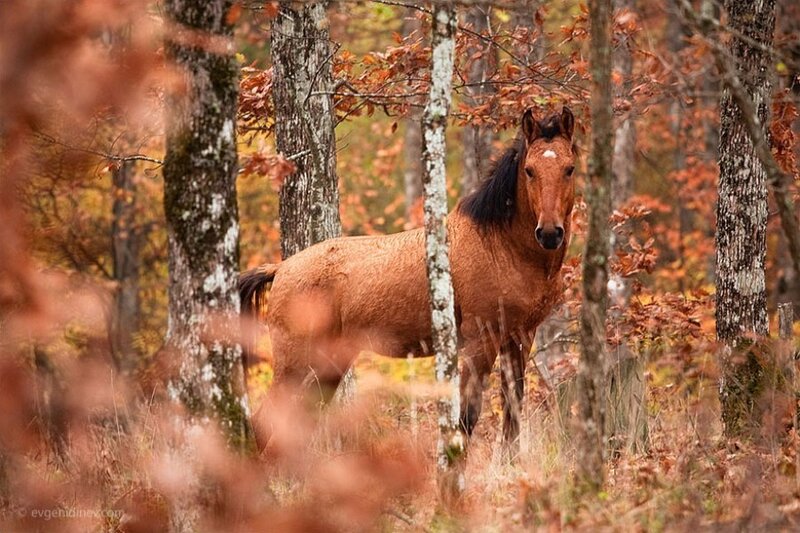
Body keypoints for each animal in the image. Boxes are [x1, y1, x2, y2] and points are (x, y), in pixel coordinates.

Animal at [240, 107, 576, 448]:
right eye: (530, 170)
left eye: (569, 168)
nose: (550, 233)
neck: (500, 246)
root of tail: (281, 269)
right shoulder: (481, 340)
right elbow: (466, 417)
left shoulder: (519, 337)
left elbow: (512, 418)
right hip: (294, 365)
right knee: (263, 425)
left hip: (328, 364)